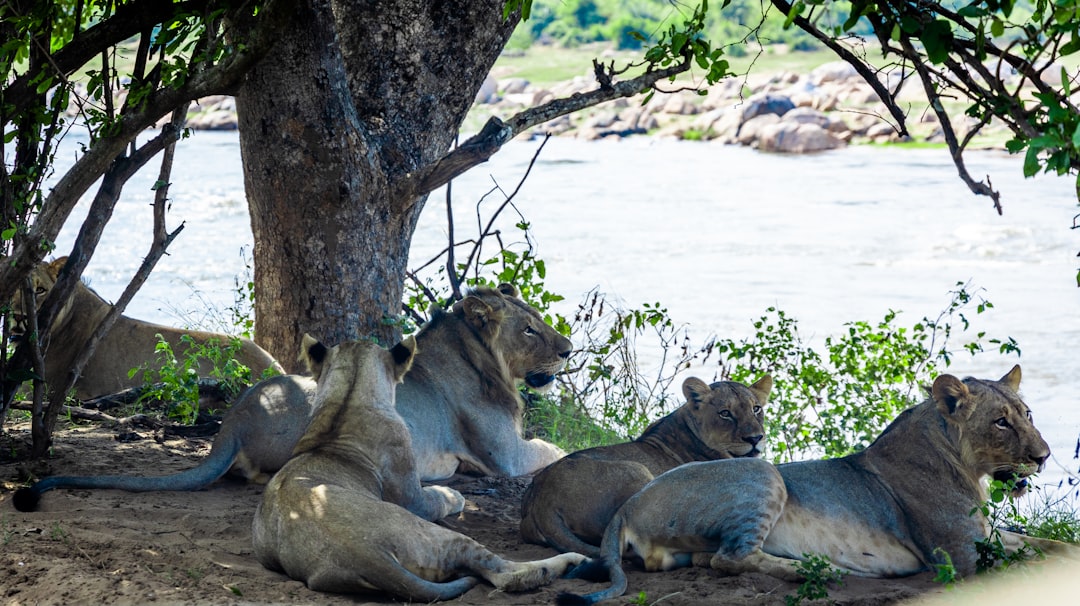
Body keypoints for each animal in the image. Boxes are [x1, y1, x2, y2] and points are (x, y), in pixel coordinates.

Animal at [13, 282, 569, 510]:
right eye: (529, 330)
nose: (568, 350)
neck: (485, 361)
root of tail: (235, 420)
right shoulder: (504, 455)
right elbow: (556, 449)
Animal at [252, 334, 589, 601]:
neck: (346, 402)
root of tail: (366, 554)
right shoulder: (413, 499)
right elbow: (438, 498)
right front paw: (455, 496)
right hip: (435, 534)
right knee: (505, 574)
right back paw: (570, 561)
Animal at [560, 366, 1078, 605]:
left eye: (1027, 414)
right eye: (1001, 422)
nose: (1043, 457)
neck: (970, 470)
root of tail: (627, 505)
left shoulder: (989, 536)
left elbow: (1050, 545)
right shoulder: (963, 554)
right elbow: (1036, 561)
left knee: (713, 558)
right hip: (765, 473)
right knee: (732, 558)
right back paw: (819, 571)